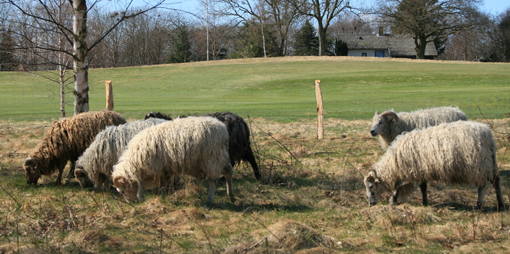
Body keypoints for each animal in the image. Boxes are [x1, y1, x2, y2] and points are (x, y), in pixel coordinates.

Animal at [364, 121, 504, 210]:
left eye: (371, 186)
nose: (370, 203)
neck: (394, 163)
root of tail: (487, 133)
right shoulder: (421, 170)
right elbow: (423, 187)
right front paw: (425, 202)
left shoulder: (410, 169)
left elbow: (399, 186)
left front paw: (393, 200)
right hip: (489, 164)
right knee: (494, 181)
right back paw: (496, 204)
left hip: (480, 165)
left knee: (485, 185)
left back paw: (484, 204)